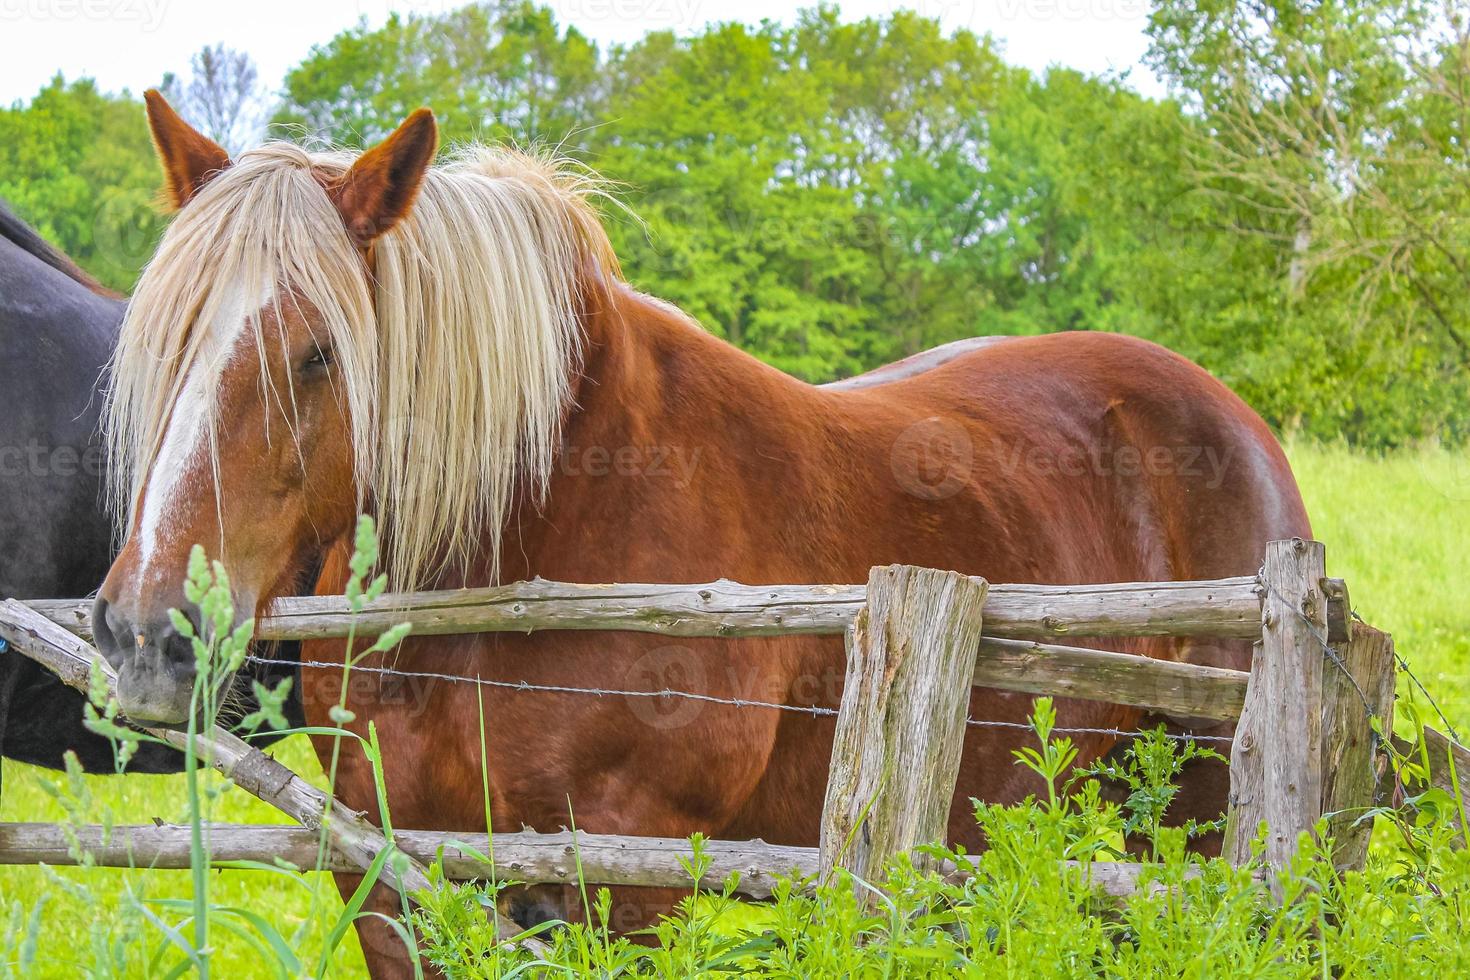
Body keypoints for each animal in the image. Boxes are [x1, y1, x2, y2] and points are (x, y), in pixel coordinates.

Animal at [91, 95, 1311, 975]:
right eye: (163, 340)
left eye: (317, 354)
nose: (147, 633)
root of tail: (1237, 420)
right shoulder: (391, 878)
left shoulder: (628, 878)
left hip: (1198, 818)